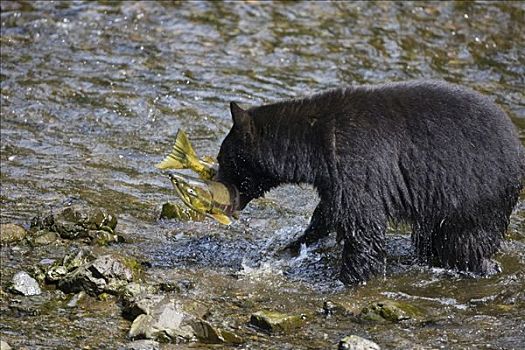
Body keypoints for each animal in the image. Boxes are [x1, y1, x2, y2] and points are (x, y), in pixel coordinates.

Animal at [215, 80, 520, 284]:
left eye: (222, 159)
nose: (220, 195)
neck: (316, 140)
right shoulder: (333, 178)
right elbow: (327, 212)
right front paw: (295, 244)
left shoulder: (358, 164)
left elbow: (363, 225)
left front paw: (349, 278)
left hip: (475, 196)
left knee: (465, 243)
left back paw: (478, 267)